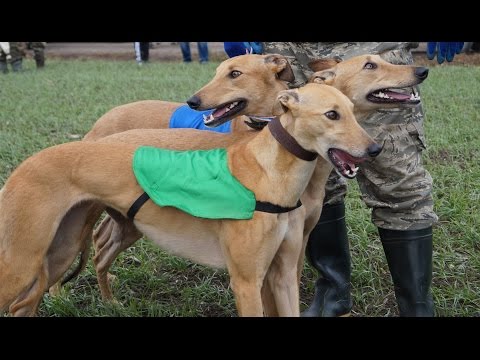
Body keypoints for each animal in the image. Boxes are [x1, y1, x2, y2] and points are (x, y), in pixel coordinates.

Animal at [0, 83, 382, 316]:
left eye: (352, 110)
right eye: (331, 114)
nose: (375, 149)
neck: (270, 174)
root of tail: (24, 166)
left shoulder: (284, 275)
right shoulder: (247, 282)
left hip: (61, 251)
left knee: (25, 306)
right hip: (22, 263)